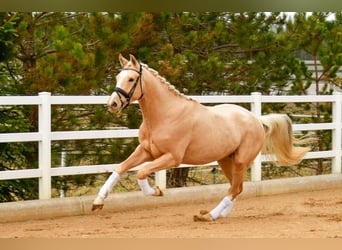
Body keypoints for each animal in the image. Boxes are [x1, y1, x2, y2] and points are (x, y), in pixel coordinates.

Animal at [91, 53, 310, 222]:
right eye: (118, 76)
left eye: (130, 79)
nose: (113, 104)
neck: (165, 115)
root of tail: (256, 119)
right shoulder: (146, 151)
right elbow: (120, 168)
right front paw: (97, 203)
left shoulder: (172, 158)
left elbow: (141, 172)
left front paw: (157, 191)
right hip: (225, 160)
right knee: (237, 187)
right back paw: (220, 214)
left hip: (240, 160)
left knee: (235, 189)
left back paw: (209, 216)